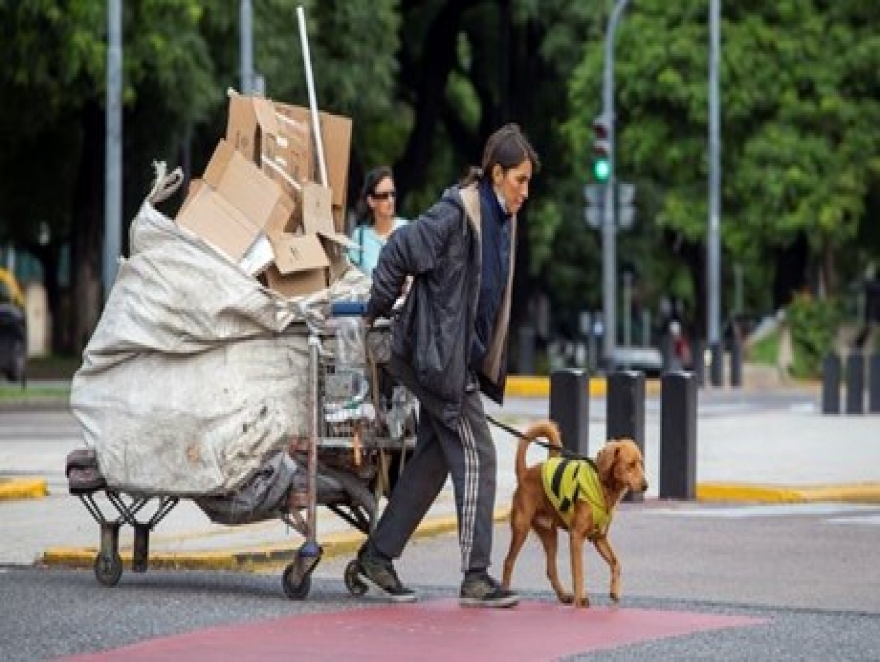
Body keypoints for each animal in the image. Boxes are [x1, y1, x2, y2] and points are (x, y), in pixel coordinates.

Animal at [502, 422, 648, 608]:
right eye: (630, 464)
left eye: (641, 463)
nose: (646, 486)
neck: (603, 485)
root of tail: (525, 473)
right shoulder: (576, 536)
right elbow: (578, 571)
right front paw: (580, 599)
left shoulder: (599, 538)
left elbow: (616, 563)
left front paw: (614, 591)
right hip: (521, 528)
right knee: (508, 562)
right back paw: (506, 592)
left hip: (550, 535)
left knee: (550, 569)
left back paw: (564, 596)